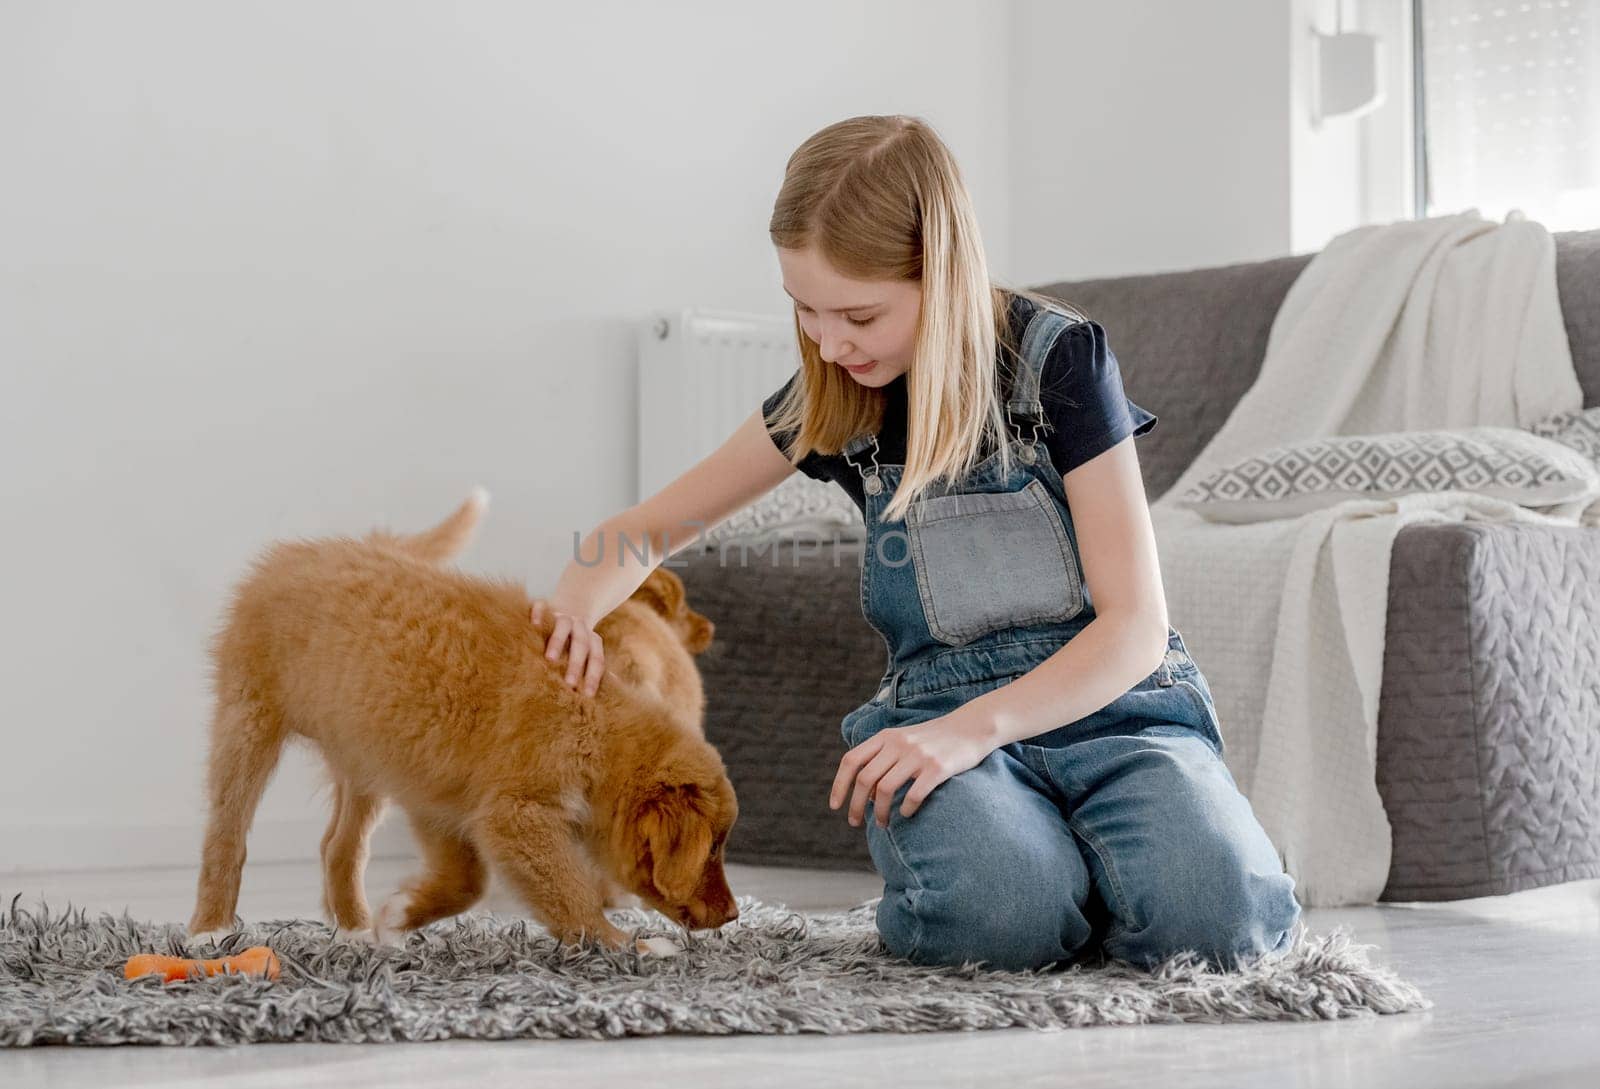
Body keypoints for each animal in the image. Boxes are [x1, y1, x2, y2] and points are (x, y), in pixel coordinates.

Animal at [190, 486, 739, 953]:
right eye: (713, 848)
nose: (734, 916)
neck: (598, 727)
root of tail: (294, 555)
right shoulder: (513, 815)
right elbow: (569, 892)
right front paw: (627, 945)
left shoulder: (440, 800)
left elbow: (467, 884)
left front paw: (399, 916)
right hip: (247, 722)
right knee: (227, 836)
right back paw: (210, 929)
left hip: (364, 760)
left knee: (339, 847)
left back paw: (352, 929)